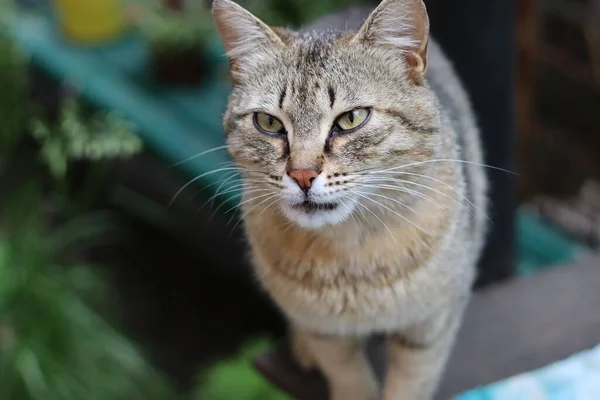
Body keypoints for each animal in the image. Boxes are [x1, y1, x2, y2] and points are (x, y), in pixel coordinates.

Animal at [211, 0, 488, 396]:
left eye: (352, 118)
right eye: (269, 123)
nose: (301, 175)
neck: (349, 255)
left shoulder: (431, 325)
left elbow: (411, 385)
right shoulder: (325, 331)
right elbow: (347, 374)